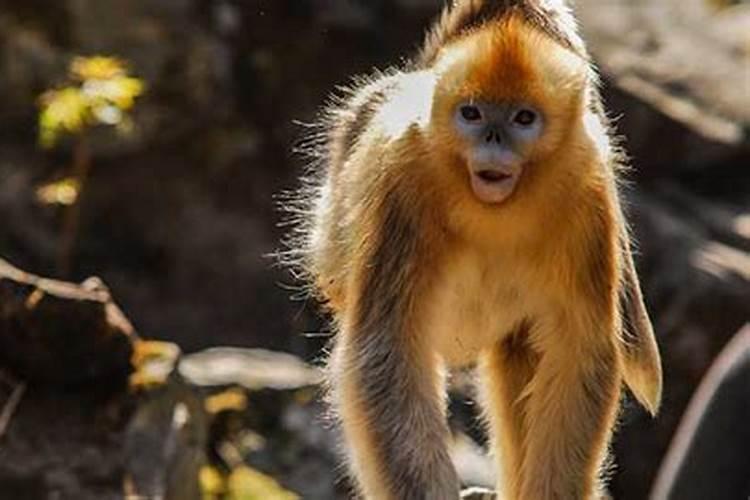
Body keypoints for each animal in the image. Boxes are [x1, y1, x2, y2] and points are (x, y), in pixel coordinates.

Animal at [284, 0, 664, 500]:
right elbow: (385, 353)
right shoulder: (404, 182)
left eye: (523, 119)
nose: (493, 141)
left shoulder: (590, 196)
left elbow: (581, 351)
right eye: (472, 114)